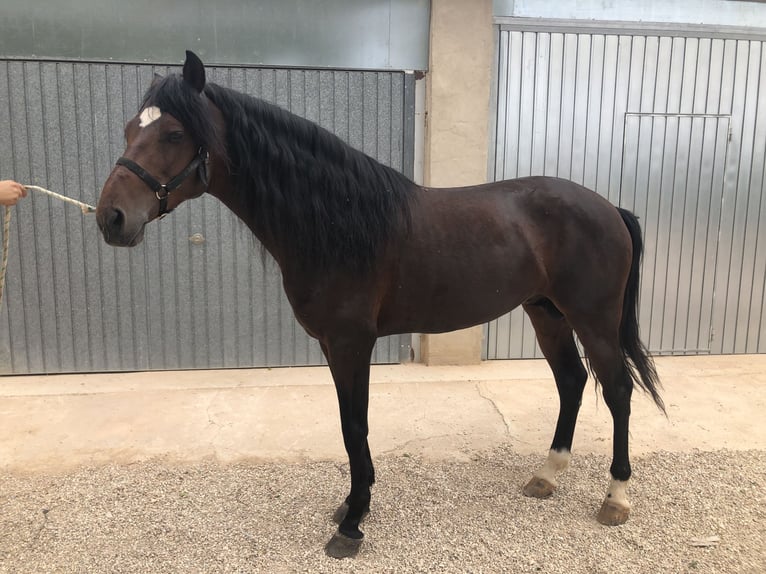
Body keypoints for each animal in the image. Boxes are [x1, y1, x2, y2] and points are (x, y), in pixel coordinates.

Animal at [97, 51, 664, 560]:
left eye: (173, 134)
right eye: (127, 130)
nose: (111, 218)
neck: (337, 220)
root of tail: (609, 207)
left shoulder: (353, 342)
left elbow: (355, 425)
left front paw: (351, 523)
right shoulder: (331, 344)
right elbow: (349, 424)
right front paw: (353, 503)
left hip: (593, 318)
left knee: (616, 389)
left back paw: (615, 498)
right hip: (545, 311)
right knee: (571, 381)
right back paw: (546, 475)